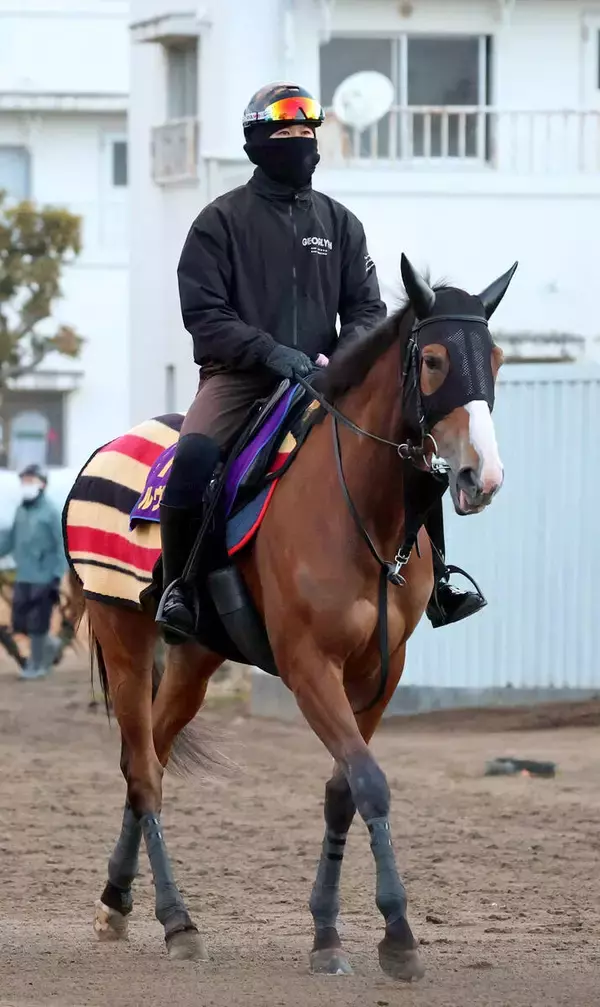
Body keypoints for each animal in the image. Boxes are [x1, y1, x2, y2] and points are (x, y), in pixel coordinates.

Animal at [64, 255, 516, 981]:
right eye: (435, 359)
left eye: (496, 357)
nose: (483, 475)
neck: (357, 509)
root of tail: (103, 451)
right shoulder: (309, 667)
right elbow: (370, 782)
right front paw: (397, 934)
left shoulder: (380, 671)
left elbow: (343, 789)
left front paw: (328, 931)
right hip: (123, 635)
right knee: (143, 771)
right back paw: (177, 919)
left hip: (195, 659)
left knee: (150, 757)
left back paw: (117, 899)